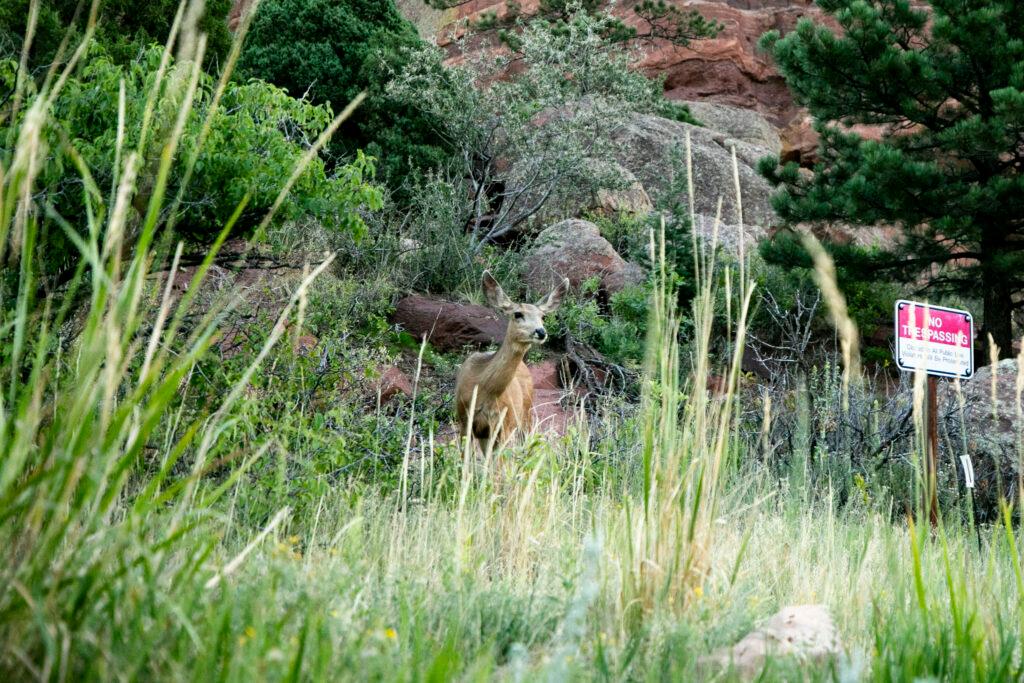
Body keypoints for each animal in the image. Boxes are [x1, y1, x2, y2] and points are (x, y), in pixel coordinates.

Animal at [456, 270, 569, 450]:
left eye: (543, 316)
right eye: (517, 314)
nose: (541, 332)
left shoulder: (502, 425)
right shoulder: (464, 420)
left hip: (525, 414)